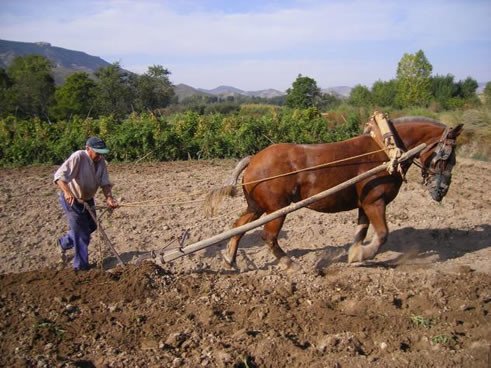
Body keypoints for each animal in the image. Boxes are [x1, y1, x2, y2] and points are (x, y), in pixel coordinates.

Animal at [209, 117, 466, 268]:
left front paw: (355, 254)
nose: (441, 191)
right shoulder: (375, 201)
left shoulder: (364, 204)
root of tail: (254, 160)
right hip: (277, 209)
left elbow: (361, 231)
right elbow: (382, 234)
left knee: (239, 226)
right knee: (268, 237)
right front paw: (363, 255)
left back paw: (229, 258)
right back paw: (290, 264)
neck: (385, 150)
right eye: (447, 157)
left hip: (257, 206)